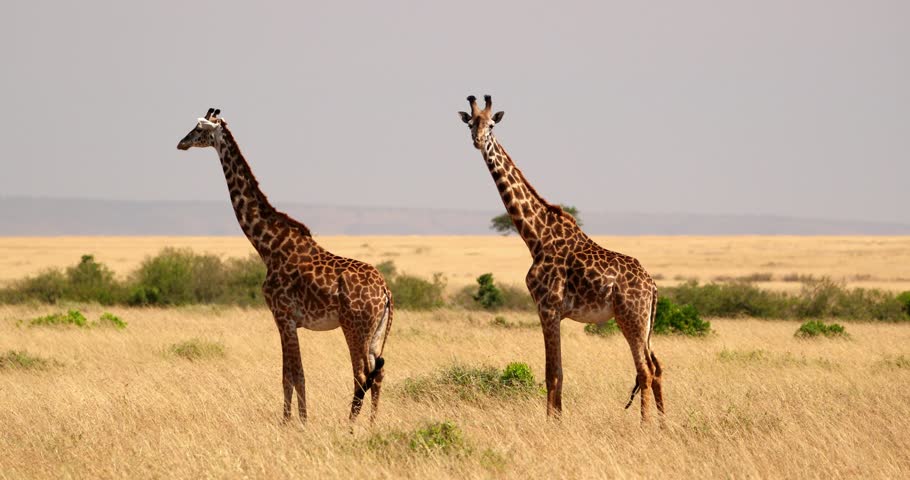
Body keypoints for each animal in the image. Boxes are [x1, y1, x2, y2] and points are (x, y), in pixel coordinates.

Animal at [177, 108, 392, 423]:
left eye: (198, 129)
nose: (181, 143)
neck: (268, 246)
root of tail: (386, 292)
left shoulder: (283, 316)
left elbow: (292, 374)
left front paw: (295, 422)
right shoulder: (287, 320)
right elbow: (290, 374)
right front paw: (294, 419)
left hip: (355, 327)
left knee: (362, 374)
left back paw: (350, 426)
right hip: (377, 331)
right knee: (378, 374)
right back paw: (373, 425)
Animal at [458, 96, 664, 421]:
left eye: (491, 125)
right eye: (471, 124)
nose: (478, 141)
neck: (535, 236)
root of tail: (653, 288)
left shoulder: (548, 308)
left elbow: (552, 373)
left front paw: (553, 421)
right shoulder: (549, 311)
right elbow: (556, 372)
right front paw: (555, 418)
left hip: (630, 317)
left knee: (644, 370)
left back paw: (645, 425)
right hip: (646, 324)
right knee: (657, 368)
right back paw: (663, 423)